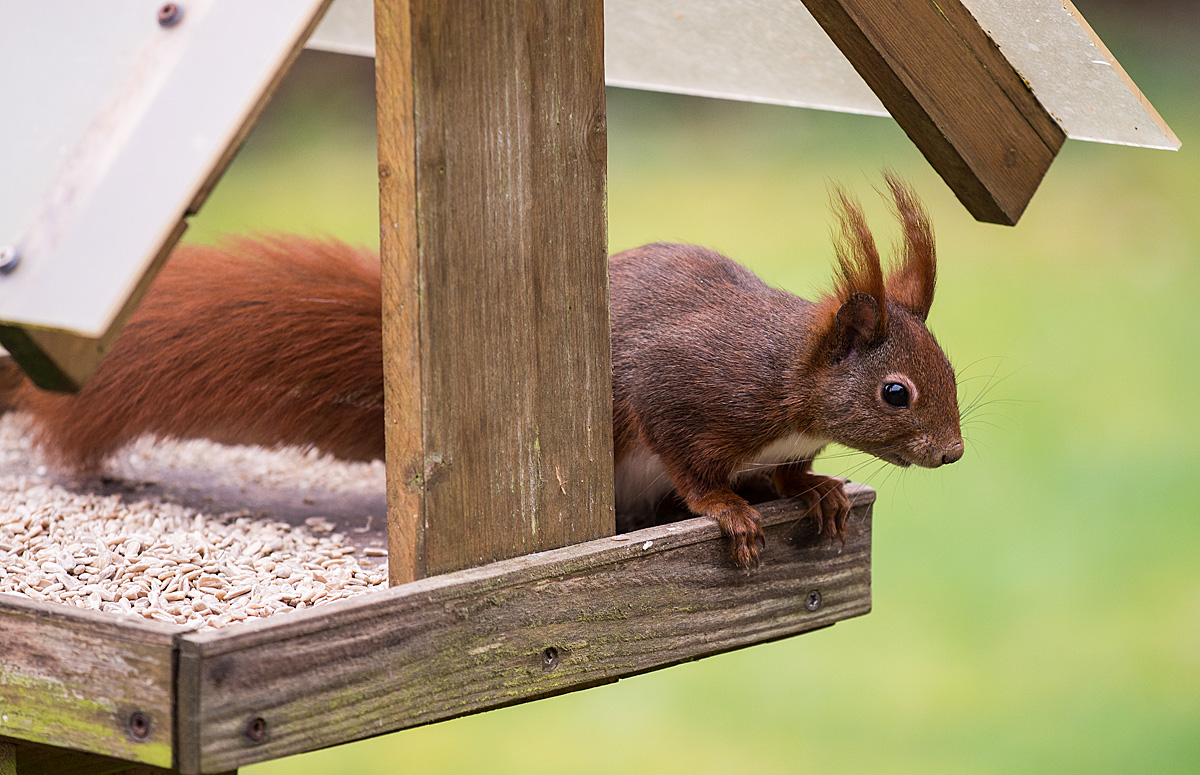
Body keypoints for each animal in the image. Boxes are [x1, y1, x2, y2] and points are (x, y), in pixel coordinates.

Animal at [4, 176, 961, 569]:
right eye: (896, 392)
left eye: (948, 372)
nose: (952, 454)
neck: (790, 385)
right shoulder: (689, 388)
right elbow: (689, 459)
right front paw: (731, 508)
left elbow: (791, 472)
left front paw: (815, 489)